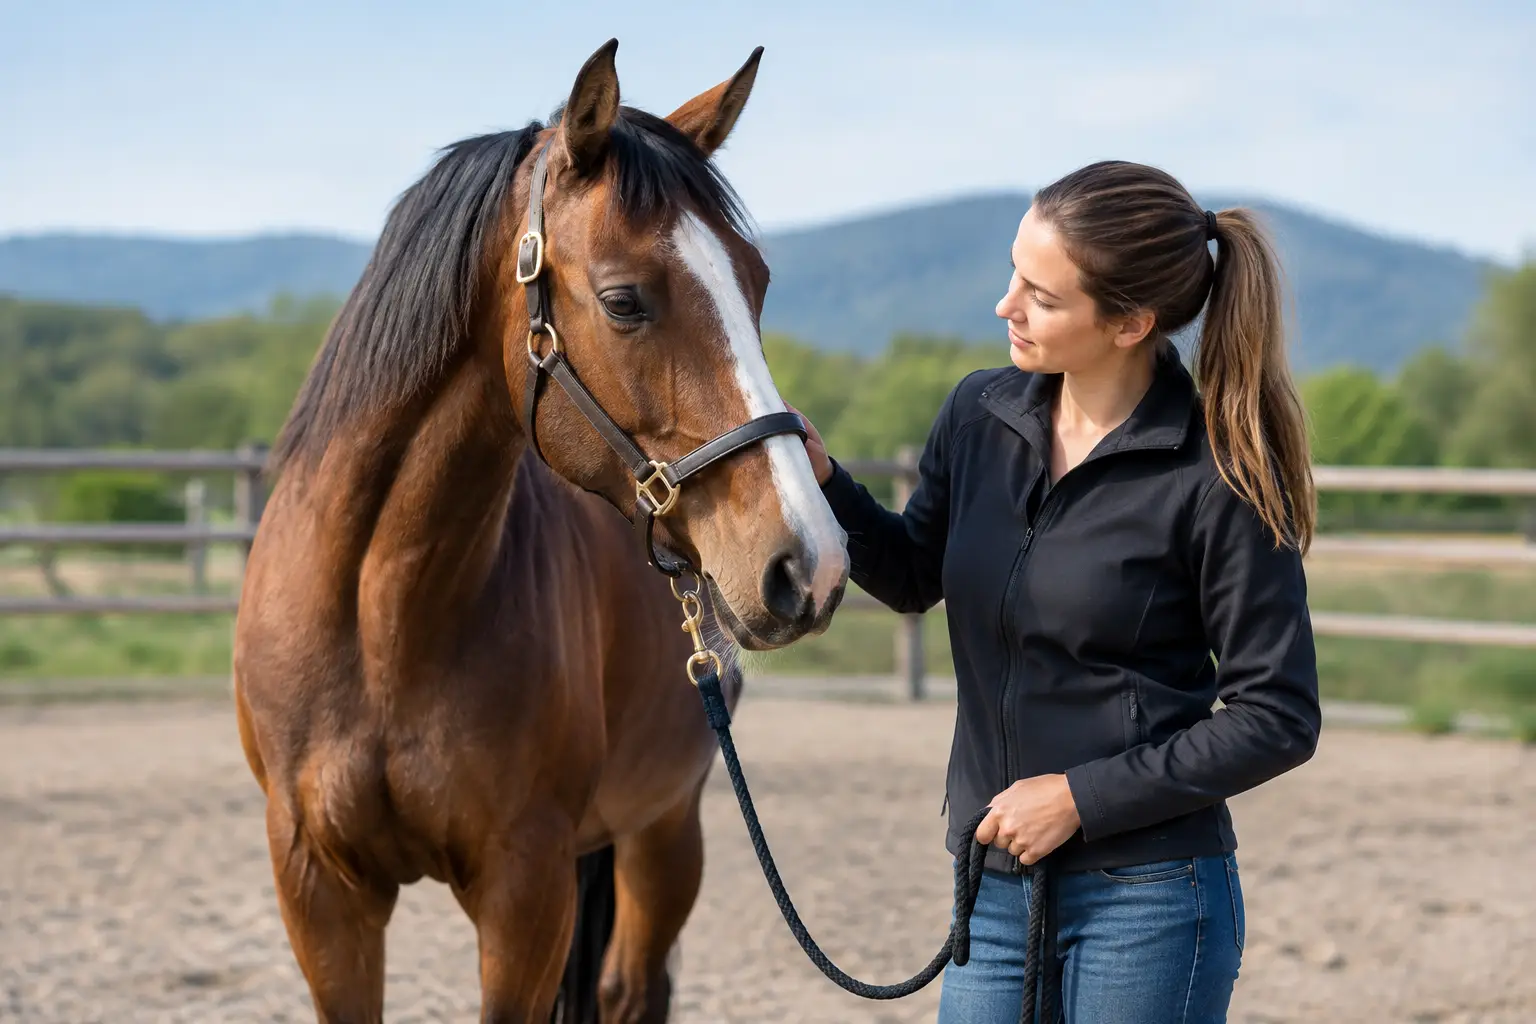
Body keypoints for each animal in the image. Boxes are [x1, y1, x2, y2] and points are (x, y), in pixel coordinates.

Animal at [232, 38, 850, 1024]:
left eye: (755, 282)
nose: (811, 565)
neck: (381, 619)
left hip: (664, 831)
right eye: (625, 300)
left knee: (633, 988)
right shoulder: (319, 887)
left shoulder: (526, 889)